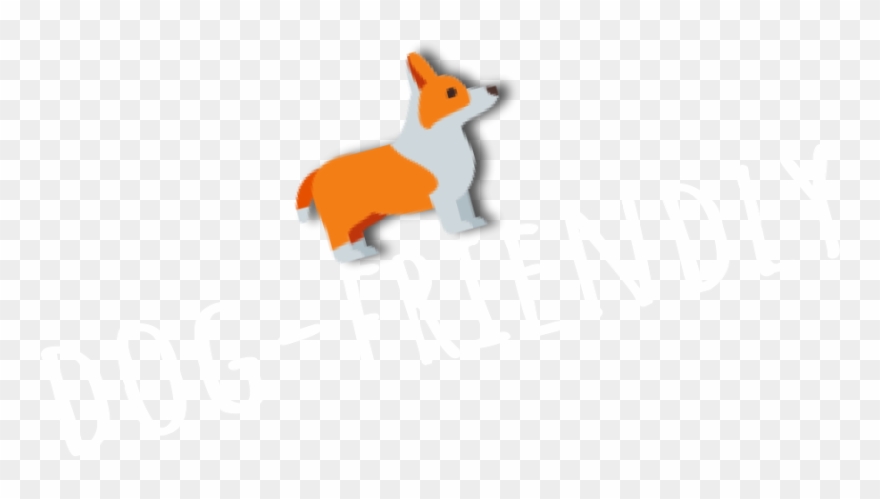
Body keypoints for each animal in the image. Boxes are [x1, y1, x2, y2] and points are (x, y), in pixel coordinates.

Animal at [296, 52, 500, 262]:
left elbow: (466, 210)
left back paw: (365, 251)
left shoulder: (461, 194)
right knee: (339, 241)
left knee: (355, 235)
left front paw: (473, 222)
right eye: (451, 92)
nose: (493, 88)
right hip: (341, 218)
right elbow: (452, 217)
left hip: (363, 218)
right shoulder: (442, 196)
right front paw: (459, 229)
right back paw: (352, 257)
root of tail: (318, 172)